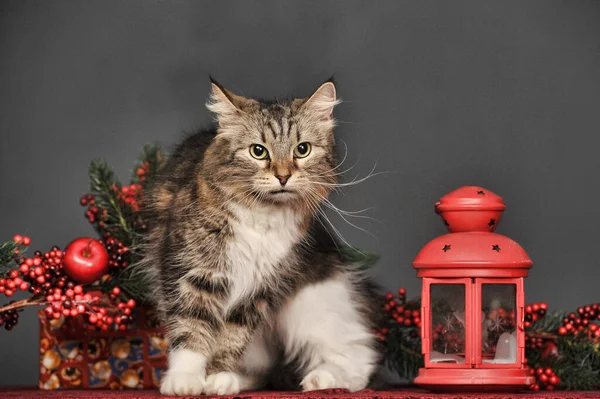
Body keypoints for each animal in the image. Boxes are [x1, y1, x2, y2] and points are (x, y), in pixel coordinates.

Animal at [140, 79, 382, 396]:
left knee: (355, 354)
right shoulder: (193, 274)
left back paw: (322, 380)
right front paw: (186, 379)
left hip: (315, 304)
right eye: (258, 151)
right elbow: (191, 330)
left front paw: (218, 377)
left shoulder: (260, 288)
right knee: (264, 370)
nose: (283, 176)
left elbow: (231, 339)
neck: (262, 217)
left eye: (302, 150)